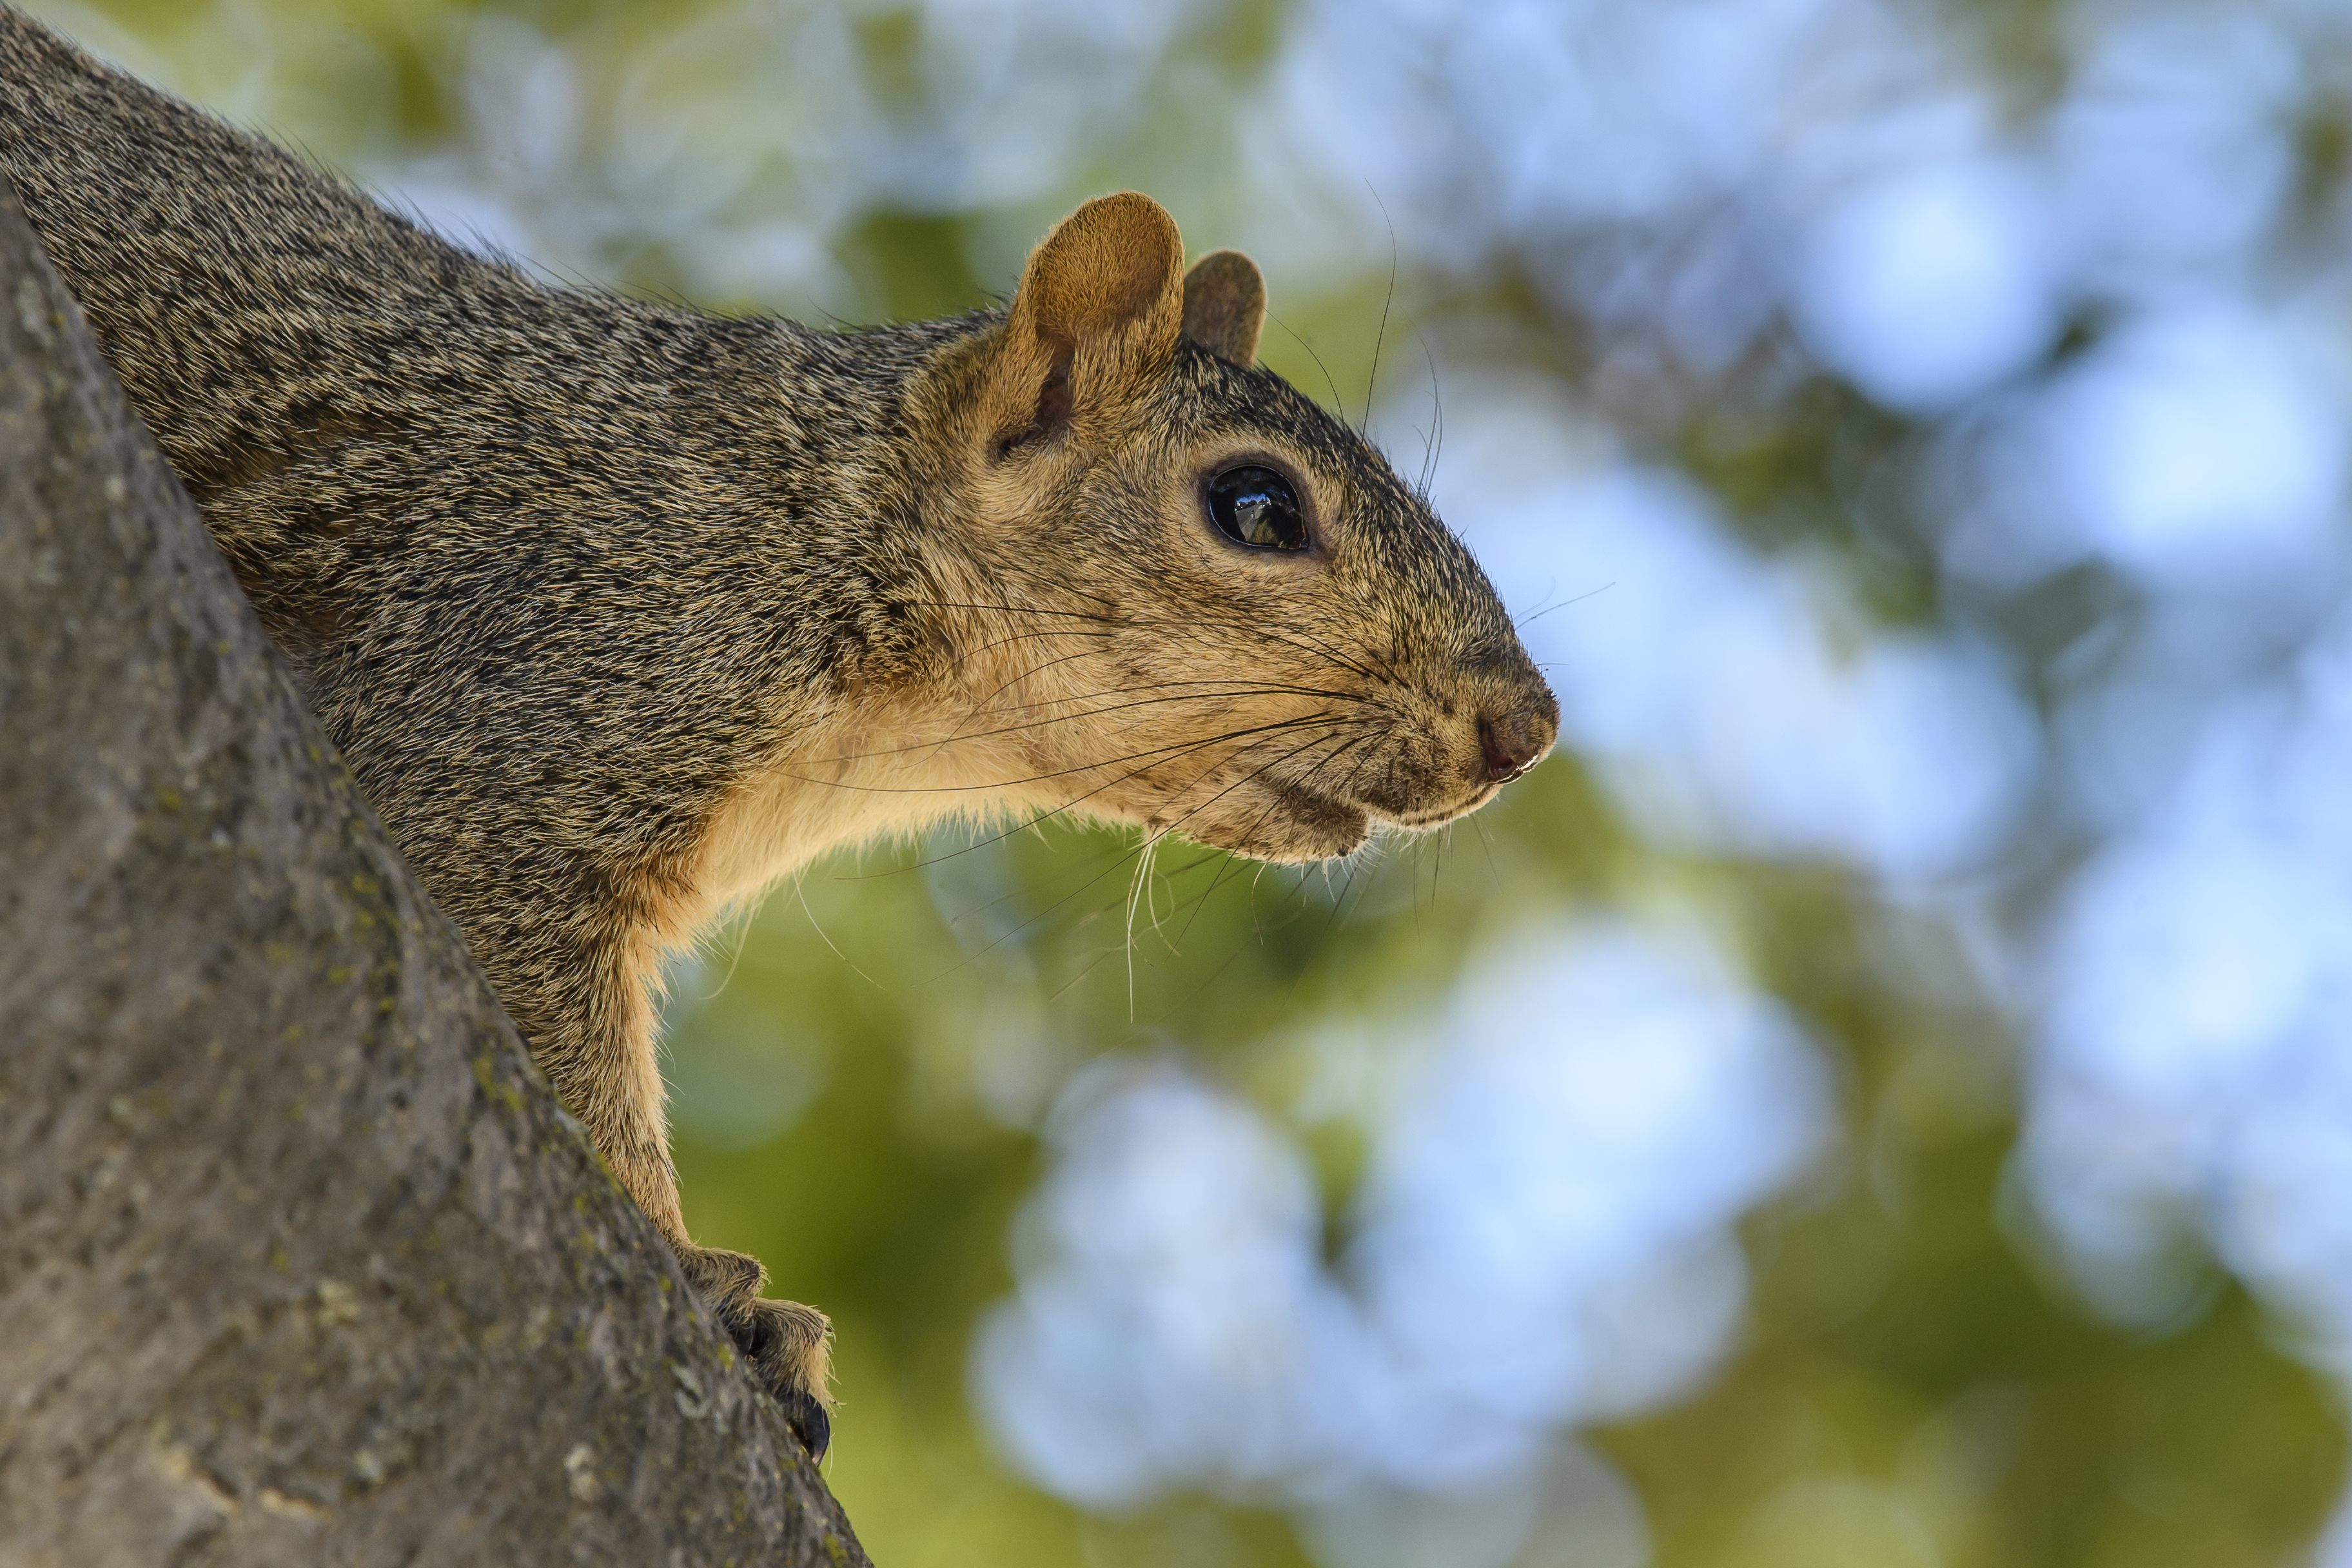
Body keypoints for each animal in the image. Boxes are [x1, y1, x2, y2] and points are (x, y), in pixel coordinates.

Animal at [0, 6, 1558, 1463]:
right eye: (1254, 507)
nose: (1525, 727)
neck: (819, 551)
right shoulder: (517, 696)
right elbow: (547, 1027)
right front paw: (700, 1269)